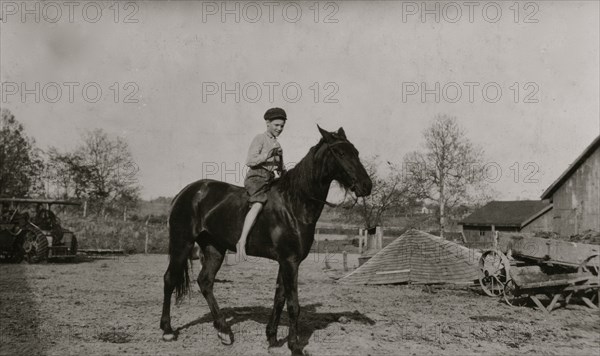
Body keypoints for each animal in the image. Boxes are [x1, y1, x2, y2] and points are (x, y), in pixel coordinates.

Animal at [162, 125, 372, 354]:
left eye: (356, 152)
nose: (367, 186)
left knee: (205, 282)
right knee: (170, 279)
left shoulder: (286, 261)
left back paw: (224, 331)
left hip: (214, 248)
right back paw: (167, 330)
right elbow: (293, 305)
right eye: (340, 153)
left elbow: (279, 298)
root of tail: (185, 192)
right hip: (182, 244)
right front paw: (294, 346)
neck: (295, 204)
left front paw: (271, 337)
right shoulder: (290, 261)